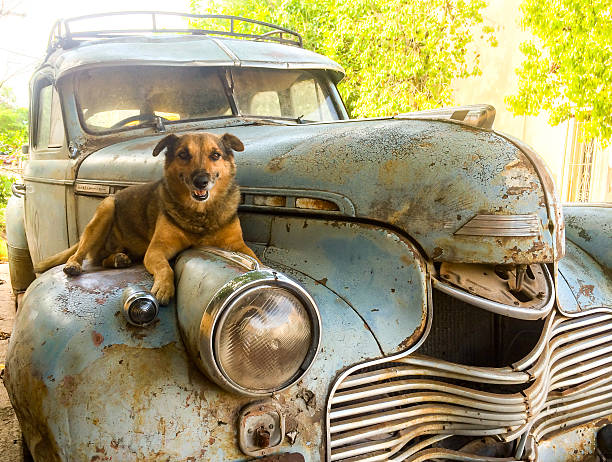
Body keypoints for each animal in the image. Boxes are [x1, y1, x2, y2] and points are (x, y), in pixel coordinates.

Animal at [35, 132, 256, 304]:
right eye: (183, 154)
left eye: (215, 155)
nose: (201, 181)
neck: (200, 213)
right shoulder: (156, 251)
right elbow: (166, 269)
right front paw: (164, 287)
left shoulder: (239, 246)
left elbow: (254, 260)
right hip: (106, 208)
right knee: (81, 252)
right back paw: (75, 264)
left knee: (101, 259)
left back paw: (118, 259)